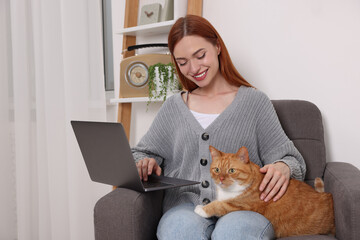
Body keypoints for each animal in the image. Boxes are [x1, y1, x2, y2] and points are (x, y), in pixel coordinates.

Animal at [195, 145, 336, 237]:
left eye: (232, 170)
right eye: (217, 170)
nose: (221, 179)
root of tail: (327, 196)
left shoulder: (240, 206)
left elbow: (218, 204)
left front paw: (202, 209)